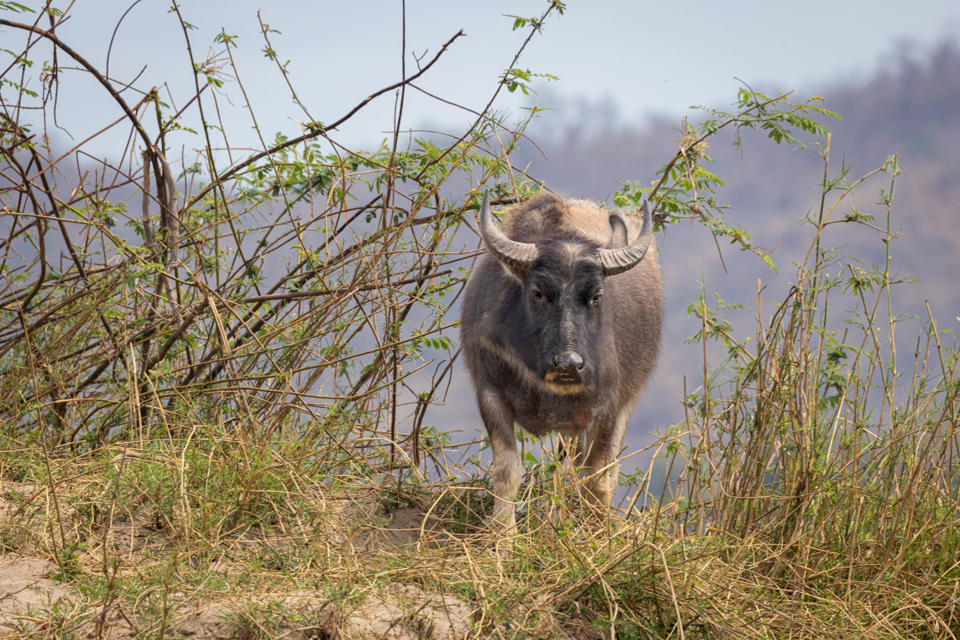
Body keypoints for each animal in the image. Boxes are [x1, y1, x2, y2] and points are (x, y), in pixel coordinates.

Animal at [461, 191, 663, 528]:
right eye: (538, 292)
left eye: (596, 296)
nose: (569, 364)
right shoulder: (489, 393)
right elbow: (506, 469)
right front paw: (502, 532)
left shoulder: (607, 406)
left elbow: (597, 477)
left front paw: (597, 531)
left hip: (623, 404)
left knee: (605, 468)